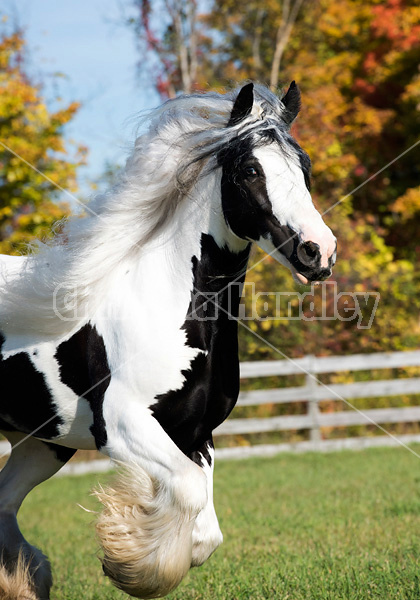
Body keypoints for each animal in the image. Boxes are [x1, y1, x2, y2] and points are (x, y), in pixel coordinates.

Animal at [0, 82, 336, 596]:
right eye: (250, 169)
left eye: (305, 165)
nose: (319, 251)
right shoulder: (123, 425)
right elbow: (187, 494)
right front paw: (128, 561)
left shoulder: (196, 435)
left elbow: (205, 534)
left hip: (42, 444)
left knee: (2, 504)